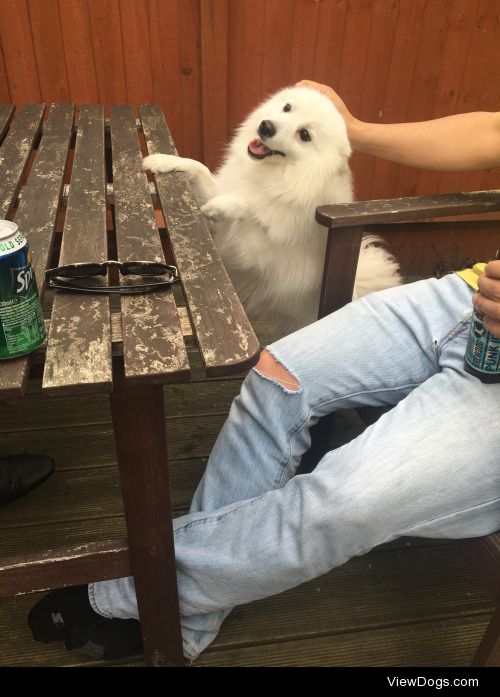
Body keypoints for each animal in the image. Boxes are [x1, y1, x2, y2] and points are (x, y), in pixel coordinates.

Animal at [143, 85, 400, 336]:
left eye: (304, 135)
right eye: (287, 107)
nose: (266, 126)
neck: (274, 176)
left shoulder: (253, 254)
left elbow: (247, 209)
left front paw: (218, 207)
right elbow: (199, 167)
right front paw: (164, 160)